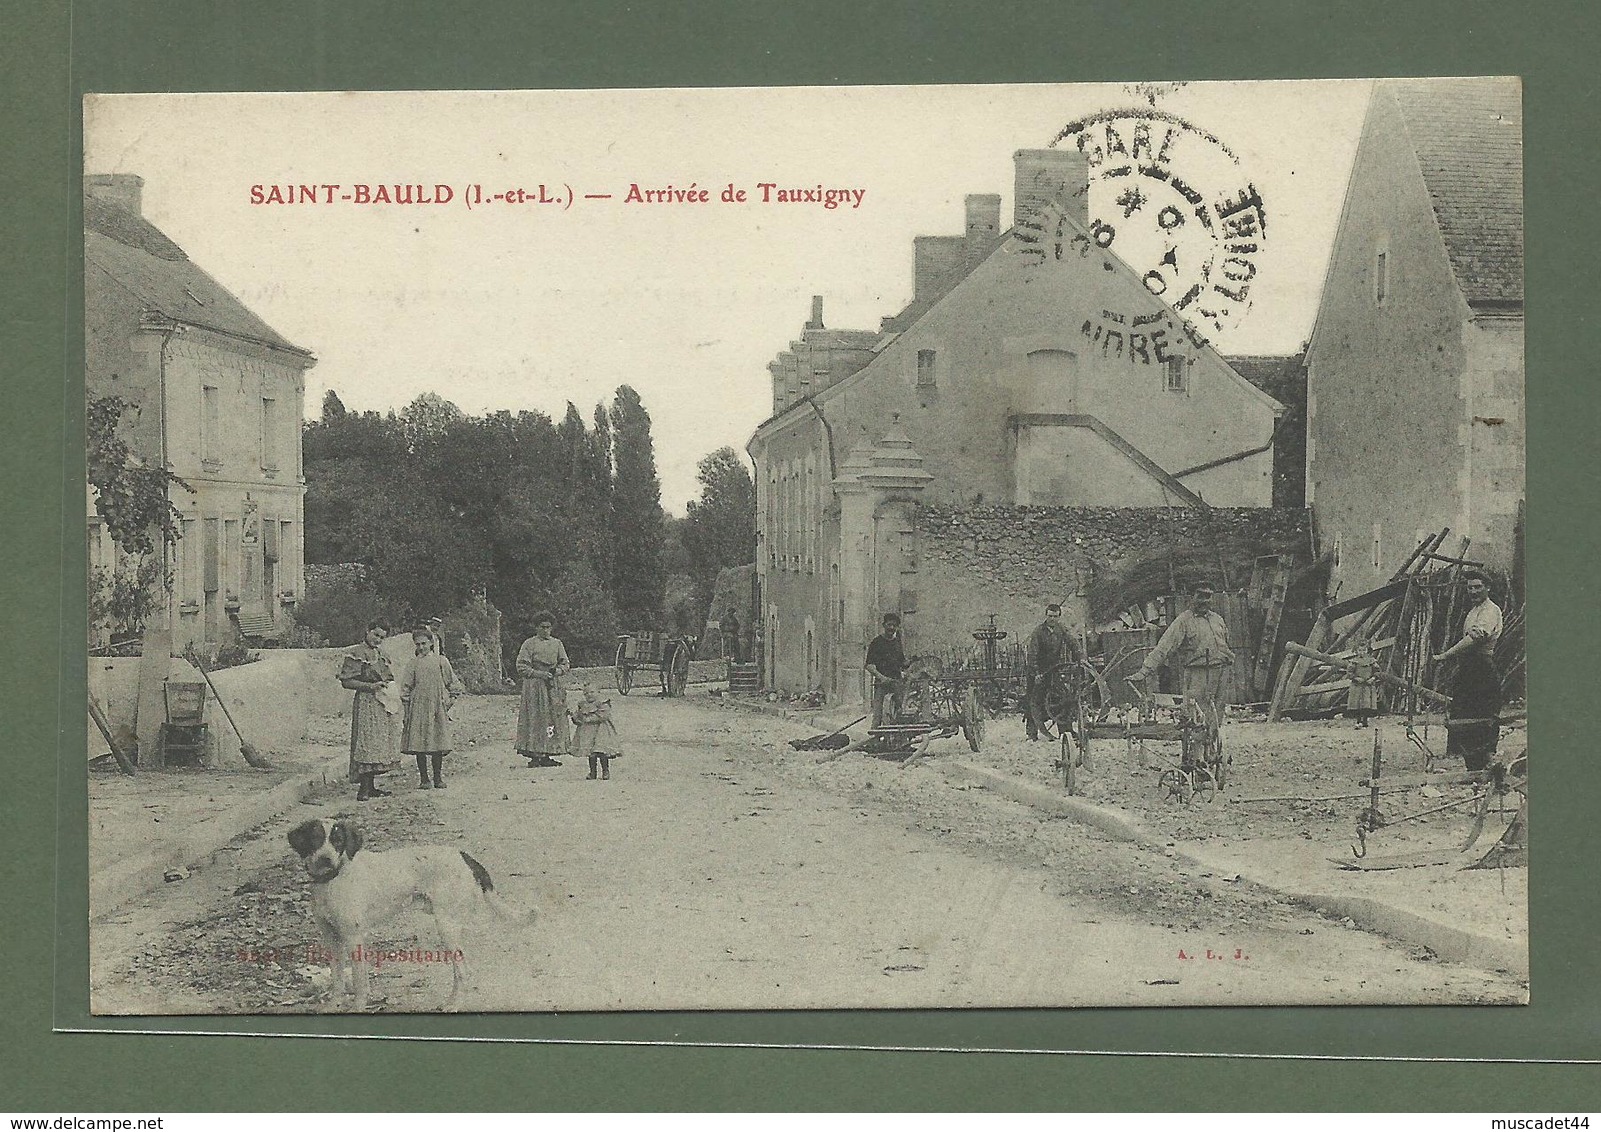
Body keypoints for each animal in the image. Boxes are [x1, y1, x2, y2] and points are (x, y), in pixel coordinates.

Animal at [286, 819, 531, 1011]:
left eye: (338, 841)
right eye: (315, 839)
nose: (325, 859)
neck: (332, 880)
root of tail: (464, 856)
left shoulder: (353, 937)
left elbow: (358, 981)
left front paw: (358, 1007)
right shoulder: (332, 939)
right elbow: (337, 979)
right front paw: (333, 1005)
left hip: (447, 926)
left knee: (463, 971)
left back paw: (454, 1005)